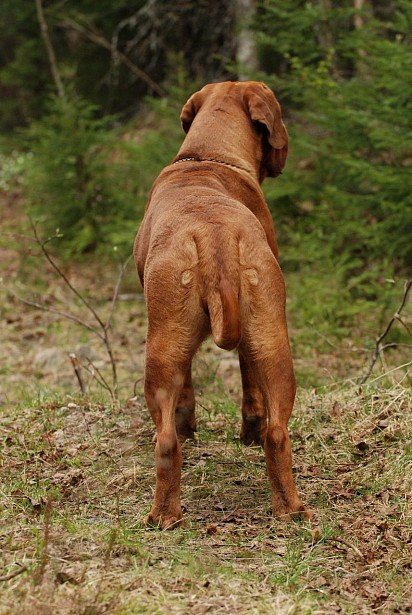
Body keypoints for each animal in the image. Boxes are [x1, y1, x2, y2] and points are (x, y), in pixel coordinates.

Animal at [135, 79, 308, 528]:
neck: (207, 155)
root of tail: (215, 237)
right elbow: (250, 389)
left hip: (162, 352)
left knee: (166, 442)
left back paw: (164, 514)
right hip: (273, 344)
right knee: (277, 432)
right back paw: (290, 509)